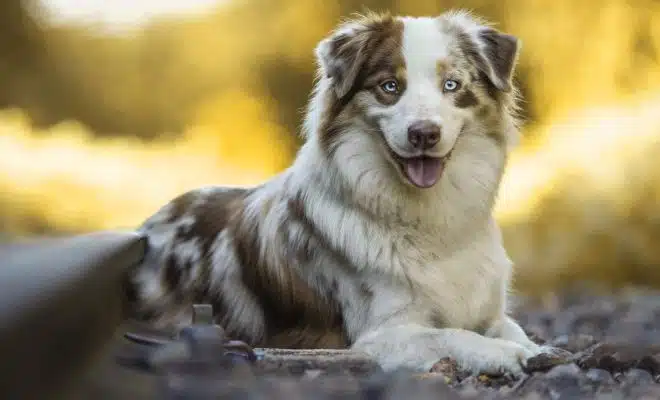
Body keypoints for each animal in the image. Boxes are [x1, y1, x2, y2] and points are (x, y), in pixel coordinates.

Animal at [125, 10, 556, 378]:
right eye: (389, 87)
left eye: (451, 85)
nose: (424, 134)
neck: (428, 221)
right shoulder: (380, 336)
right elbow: (453, 334)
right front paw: (508, 355)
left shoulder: (489, 311)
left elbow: (514, 330)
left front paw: (534, 349)